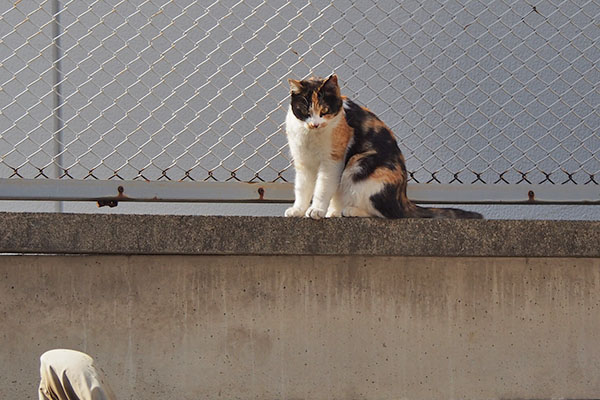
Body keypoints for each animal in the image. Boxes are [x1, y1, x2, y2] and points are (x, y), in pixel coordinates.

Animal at [284, 74, 482, 220]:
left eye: (324, 111)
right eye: (305, 111)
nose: (315, 124)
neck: (310, 136)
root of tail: (403, 198)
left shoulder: (332, 161)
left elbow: (323, 187)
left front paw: (316, 211)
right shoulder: (303, 162)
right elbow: (302, 188)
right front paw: (298, 210)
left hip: (359, 164)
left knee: (386, 214)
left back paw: (349, 211)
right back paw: (335, 212)